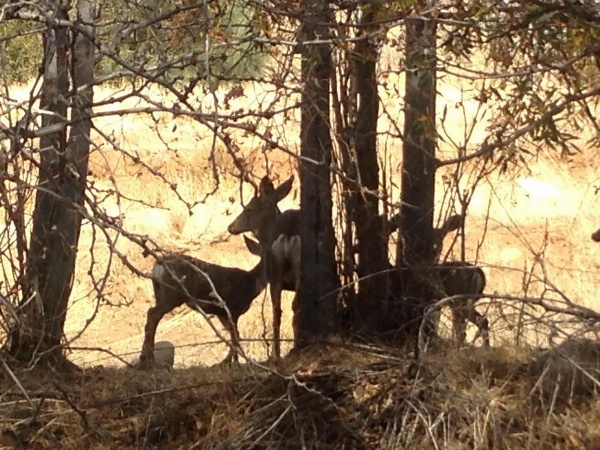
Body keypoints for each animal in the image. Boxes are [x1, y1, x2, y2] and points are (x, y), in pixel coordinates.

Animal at [139, 236, 266, 370]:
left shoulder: (222, 314)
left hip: (159, 292)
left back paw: (144, 359)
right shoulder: (233, 309)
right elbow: (236, 337)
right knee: (153, 314)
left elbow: (234, 337)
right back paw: (149, 360)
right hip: (173, 294)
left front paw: (233, 363)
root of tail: (158, 264)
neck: (252, 284)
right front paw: (228, 363)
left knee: (151, 314)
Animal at [226, 174, 298, 360]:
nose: (231, 227)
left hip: (278, 272)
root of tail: (288, 234)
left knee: (279, 311)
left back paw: (276, 355)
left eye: (248, 209)